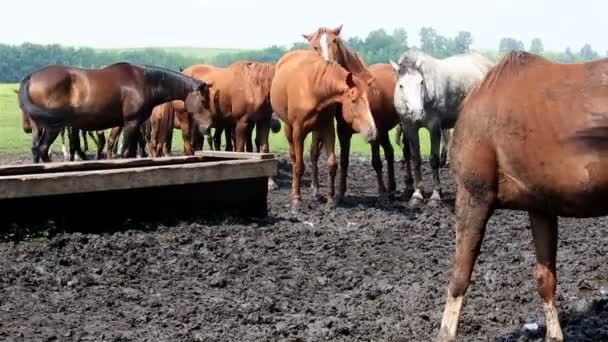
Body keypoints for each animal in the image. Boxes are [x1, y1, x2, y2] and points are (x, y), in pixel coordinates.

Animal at [17, 61, 211, 163]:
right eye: (203, 101)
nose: (208, 127)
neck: (145, 82)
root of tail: (31, 77)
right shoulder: (131, 123)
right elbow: (125, 153)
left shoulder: (134, 124)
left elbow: (131, 151)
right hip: (53, 126)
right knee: (42, 148)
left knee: (37, 148)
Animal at [270, 49, 376, 207]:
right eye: (354, 100)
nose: (371, 131)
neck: (315, 88)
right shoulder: (299, 132)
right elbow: (299, 166)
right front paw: (296, 198)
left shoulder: (327, 129)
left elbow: (332, 164)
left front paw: (331, 199)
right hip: (289, 129)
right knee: (294, 157)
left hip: (316, 131)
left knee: (313, 154)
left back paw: (316, 192)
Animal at [304, 26, 408, 203]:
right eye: (314, 45)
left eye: (334, 41)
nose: (329, 64)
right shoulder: (343, 132)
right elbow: (344, 161)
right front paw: (340, 193)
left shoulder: (373, 130)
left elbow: (376, 161)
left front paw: (381, 194)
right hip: (384, 131)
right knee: (389, 152)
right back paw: (392, 188)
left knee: (407, 153)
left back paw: (408, 188)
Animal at [390, 48, 494, 206]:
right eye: (401, 85)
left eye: (421, 82)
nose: (417, 112)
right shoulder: (409, 127)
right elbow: (416, 159)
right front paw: (417, 195)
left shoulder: (434, 127)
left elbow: (434, 160)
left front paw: (435, 195)